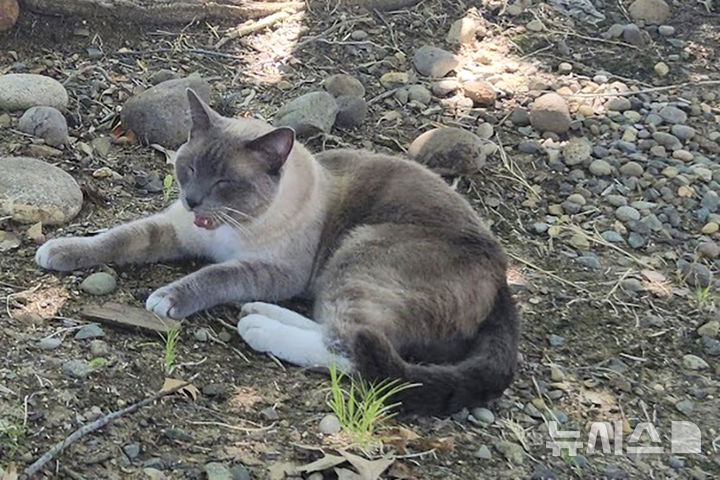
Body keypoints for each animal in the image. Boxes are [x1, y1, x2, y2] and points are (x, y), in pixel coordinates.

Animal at [36, 90, 516, 416]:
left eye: (224, 182)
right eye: (188, 169)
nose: (192, 200)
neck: (225, 229)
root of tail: (502, 276)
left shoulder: (272, 271)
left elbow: (213, 277)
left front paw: (167, 298)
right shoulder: (174, 229)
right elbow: (116, 239)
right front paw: (57, 250)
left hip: (358, 253)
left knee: (355, 349)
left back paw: (258, 328)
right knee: (340, 330)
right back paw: (259, 313)